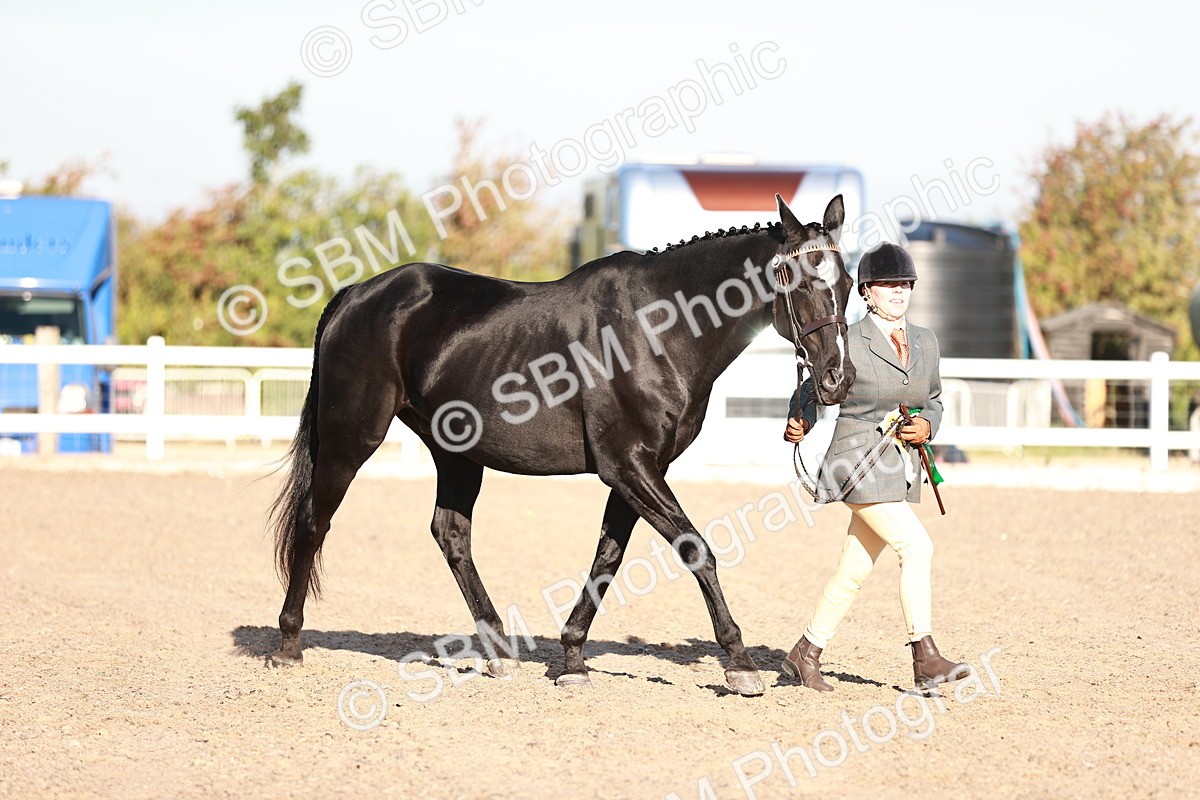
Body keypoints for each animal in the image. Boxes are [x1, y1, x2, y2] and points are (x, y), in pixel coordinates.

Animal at [268, 194, 855, 696]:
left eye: (847, 281)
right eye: (799, 279)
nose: (836, 380)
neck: (657, 329)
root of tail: (356, 294)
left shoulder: (638, 471)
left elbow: (608, 558)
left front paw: (572, 659)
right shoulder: (629, 466)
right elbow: (696, 550)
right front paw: (740, 664)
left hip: (456, 454)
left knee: (451, 535)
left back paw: (499, 652)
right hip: (351, 438)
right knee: (314, 522)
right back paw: (289, 643)